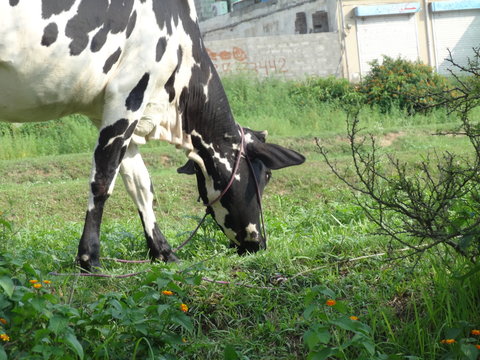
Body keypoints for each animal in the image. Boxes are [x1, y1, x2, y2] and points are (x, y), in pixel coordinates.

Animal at [0, 0, 304, 270]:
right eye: (267, 175)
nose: (258, 243)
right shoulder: (129, 91)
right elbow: (103, 180)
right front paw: (89, 259)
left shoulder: (111, 110)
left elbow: (141, 185)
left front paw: (163, 252)